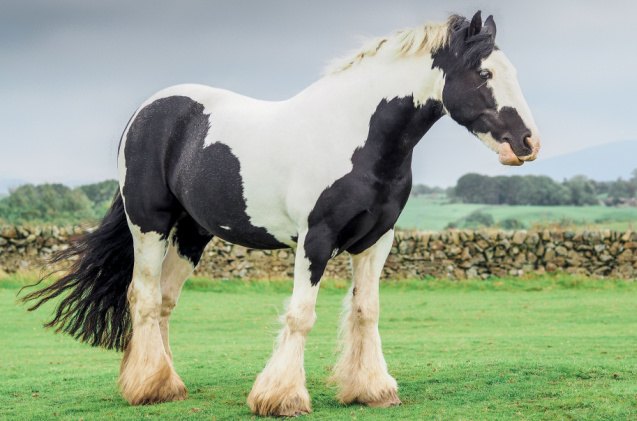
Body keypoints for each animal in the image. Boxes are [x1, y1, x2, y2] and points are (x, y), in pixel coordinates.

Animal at [24, 10, 540, 416]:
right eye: (484, 74)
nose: (528, 143)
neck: (356, 136)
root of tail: (146, 112)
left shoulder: (377, 240)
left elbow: (366, 311)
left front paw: (372, 389)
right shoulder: (316, 239)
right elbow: (301, 315)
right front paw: (281, 398)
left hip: (192, 234)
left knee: (166, 301)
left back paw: (166, 384)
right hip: (148, 225)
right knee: (144, 297)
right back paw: (148, 387)